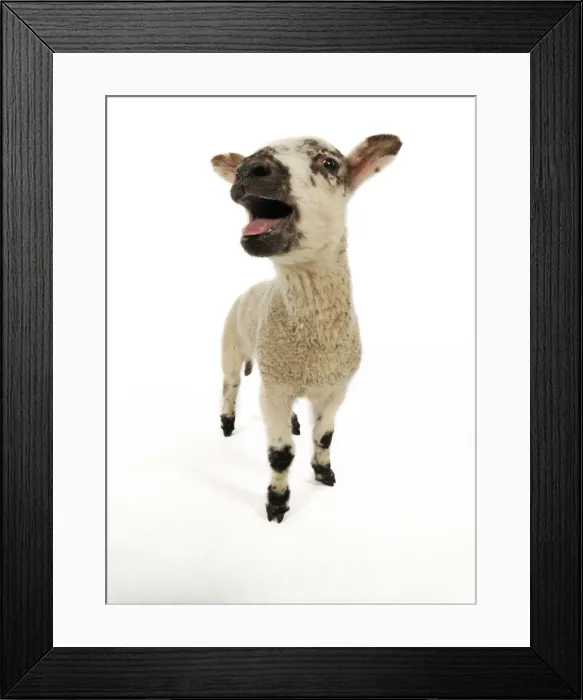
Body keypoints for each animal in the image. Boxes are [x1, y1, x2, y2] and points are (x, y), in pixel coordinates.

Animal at [211, 134, 402, 522]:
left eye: (330, 163)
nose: (248, 170)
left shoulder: (335, 387)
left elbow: (325, 437)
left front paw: (324, 473)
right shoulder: (273, 388)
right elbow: (281, 454)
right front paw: (277, 503)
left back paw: (296, 423)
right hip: (231, 344)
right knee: (230, 385)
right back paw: (226, 423)